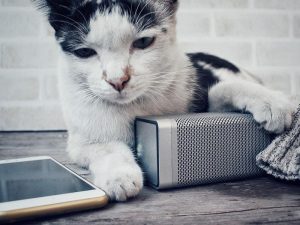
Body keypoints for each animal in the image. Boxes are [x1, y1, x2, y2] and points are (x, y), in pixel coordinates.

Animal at [34, 0, 296, 200]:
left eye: (142, 42)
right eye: (84, 52)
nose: (118, 80)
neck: (135, 106)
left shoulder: (199, 96)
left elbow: (222, 90)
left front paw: (272, 104)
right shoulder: (80, 140)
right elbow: (104, 147)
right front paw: (120, 176)